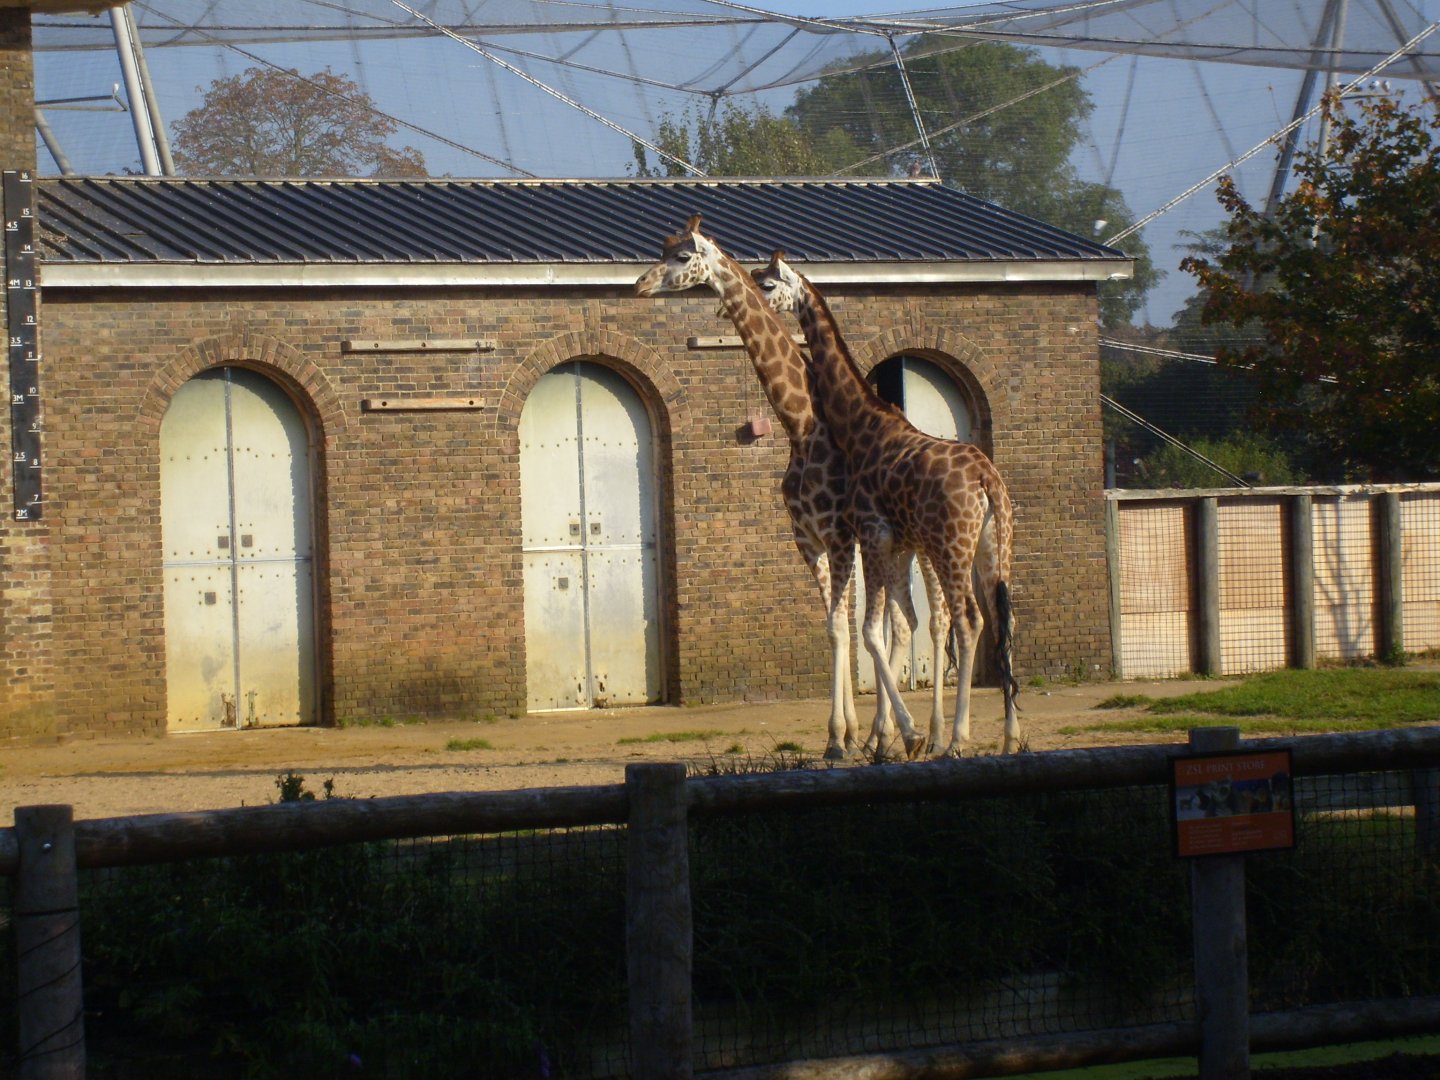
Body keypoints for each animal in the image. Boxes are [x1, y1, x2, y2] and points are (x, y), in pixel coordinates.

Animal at [634, 215, 929, 760]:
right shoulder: (807, 539)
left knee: (906, 623)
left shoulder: (839, 536)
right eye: (661, 248)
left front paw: (847, 736)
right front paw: (841, 736)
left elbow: (843, 625)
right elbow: (834, 627)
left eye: (682, 256)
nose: (639, 284)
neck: (802, 424)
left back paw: (899, 732)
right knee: (898, 623)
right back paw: (883, 733)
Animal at [754, 252, 1020, 756]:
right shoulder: (886, 542)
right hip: (994, 548)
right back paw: (1011, 737)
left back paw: (955, 739)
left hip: (951, 549)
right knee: (1001, 619)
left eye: (768, 283)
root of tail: (986, 480)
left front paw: (894, 734)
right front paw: (885, 734)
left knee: (967, 621)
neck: (862, 422)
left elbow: (871, 629)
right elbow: (887, 626)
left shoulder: (871, 534)